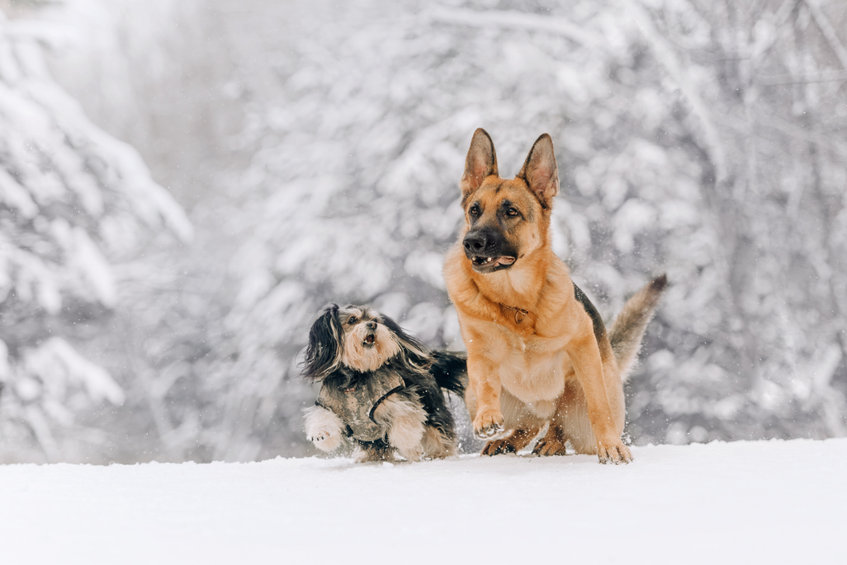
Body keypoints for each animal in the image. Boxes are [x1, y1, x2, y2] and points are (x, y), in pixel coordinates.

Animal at [304, 306, 468, 460]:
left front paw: (408, 444)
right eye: (352, 319)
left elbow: (405, 420)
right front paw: (321, 434)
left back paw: (439, 454)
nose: (372, 325)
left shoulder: (398, 398)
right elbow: (323, 416)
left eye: (375, 319)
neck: (358, 375)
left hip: (433, 409)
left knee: (439, 434)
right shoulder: (329, 404)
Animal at [448, 129, 664, 462]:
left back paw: (553, 442)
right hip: (479, 396)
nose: (471, 243)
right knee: (531, 423)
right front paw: (487, 417)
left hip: (580, 396)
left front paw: (611, 445)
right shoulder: (479, 350)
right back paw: (507, 441)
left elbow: (598, 405)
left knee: (559, 421)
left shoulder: (583, 343)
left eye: (510, 211)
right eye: (474, 210)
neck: (516, 302)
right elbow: (485, 381)